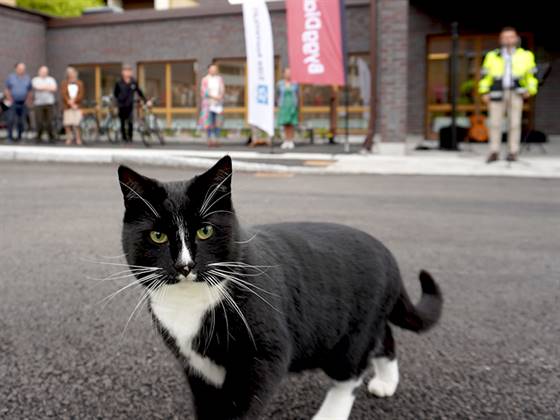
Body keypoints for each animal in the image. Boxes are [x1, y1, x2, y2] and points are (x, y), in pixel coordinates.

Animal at [117, 157, 442, 420]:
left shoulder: (262, 357)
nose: (185, 266)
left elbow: (241, 407)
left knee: (350, 371)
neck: (190, 305)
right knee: (384, 337)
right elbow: (207, 406)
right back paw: (386, 382)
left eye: (205, 230)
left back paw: (330, 414)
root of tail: (388, 254)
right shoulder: (197, 368)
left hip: (351, 333)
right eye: (158, 236)